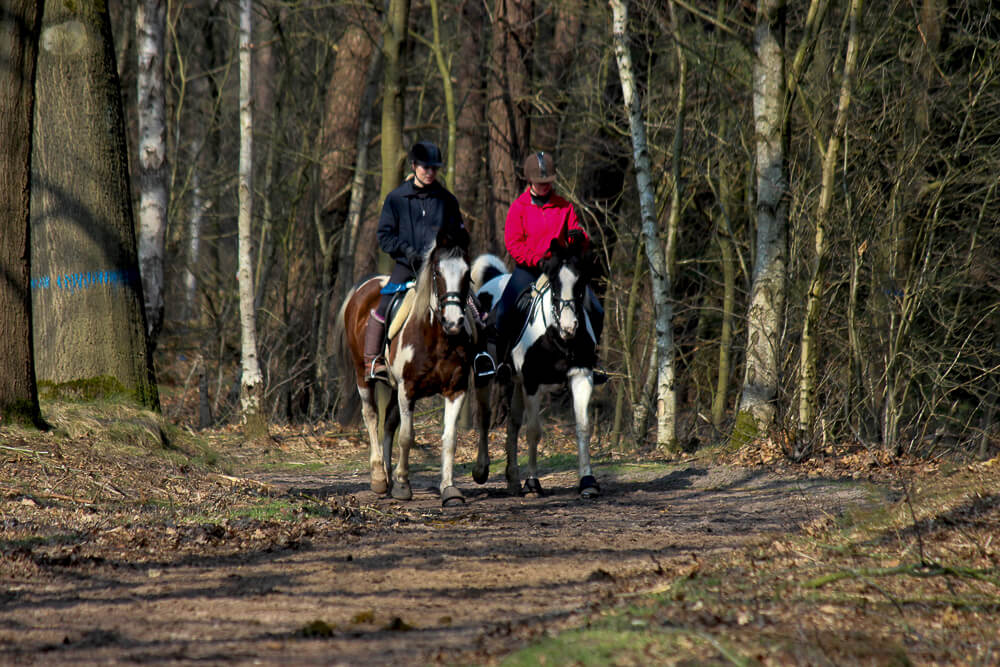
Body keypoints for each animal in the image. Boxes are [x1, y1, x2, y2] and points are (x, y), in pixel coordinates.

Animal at [336, 230, 476, 506]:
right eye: (437, 272)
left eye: (467, 273)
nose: (454, 322)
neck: (438, 337)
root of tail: (365, 286)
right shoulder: (408, 389)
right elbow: (407, 436)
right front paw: (402, 485)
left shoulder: (456, 389)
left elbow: (449, 439)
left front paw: (449, 489)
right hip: (363, 375)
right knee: (372, 417)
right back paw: (379, 477)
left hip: (393, 386)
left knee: (389, 422)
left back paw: (388, 474)